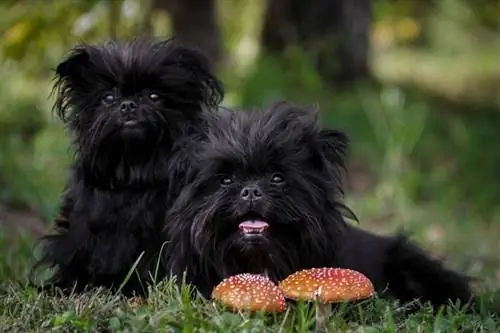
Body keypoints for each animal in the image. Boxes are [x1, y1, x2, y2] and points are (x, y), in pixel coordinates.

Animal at [32, 38, 224, 296]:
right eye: (108, 98)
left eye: (154, 96)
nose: (128, 105)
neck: (133, 171)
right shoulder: (82, 229)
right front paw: (64, 286)